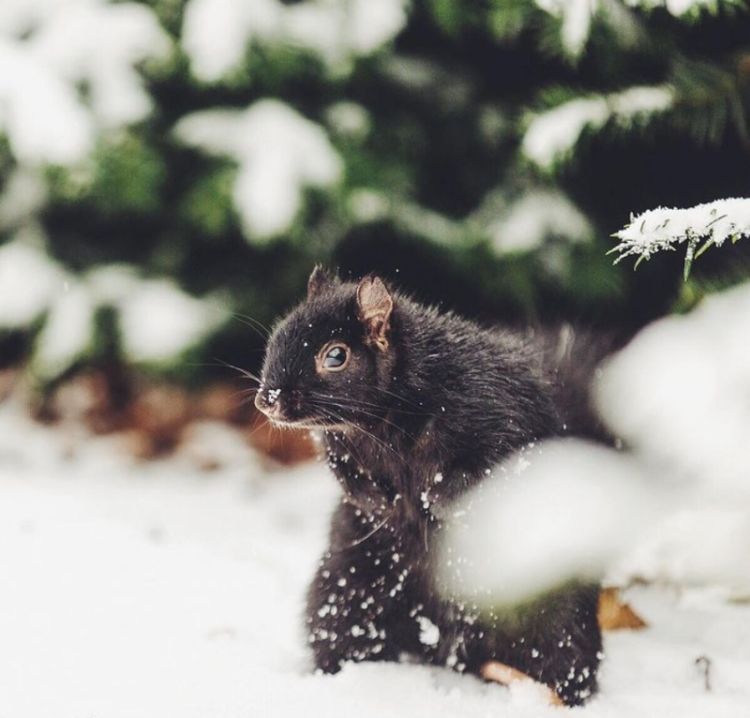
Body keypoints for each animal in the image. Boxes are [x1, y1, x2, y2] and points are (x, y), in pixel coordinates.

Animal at [258, 268, 612, 704]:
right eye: (278, 334)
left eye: (335, 355)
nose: (267, 399)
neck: (381, 423)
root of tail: (451, 644)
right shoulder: (340, 450)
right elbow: (351, 480)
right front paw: (382, 503)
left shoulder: (494, 418)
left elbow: (478, 471)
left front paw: (434, 499)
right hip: (346, 594)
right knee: (347, 636)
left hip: (555, 621)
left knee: (567, 661)